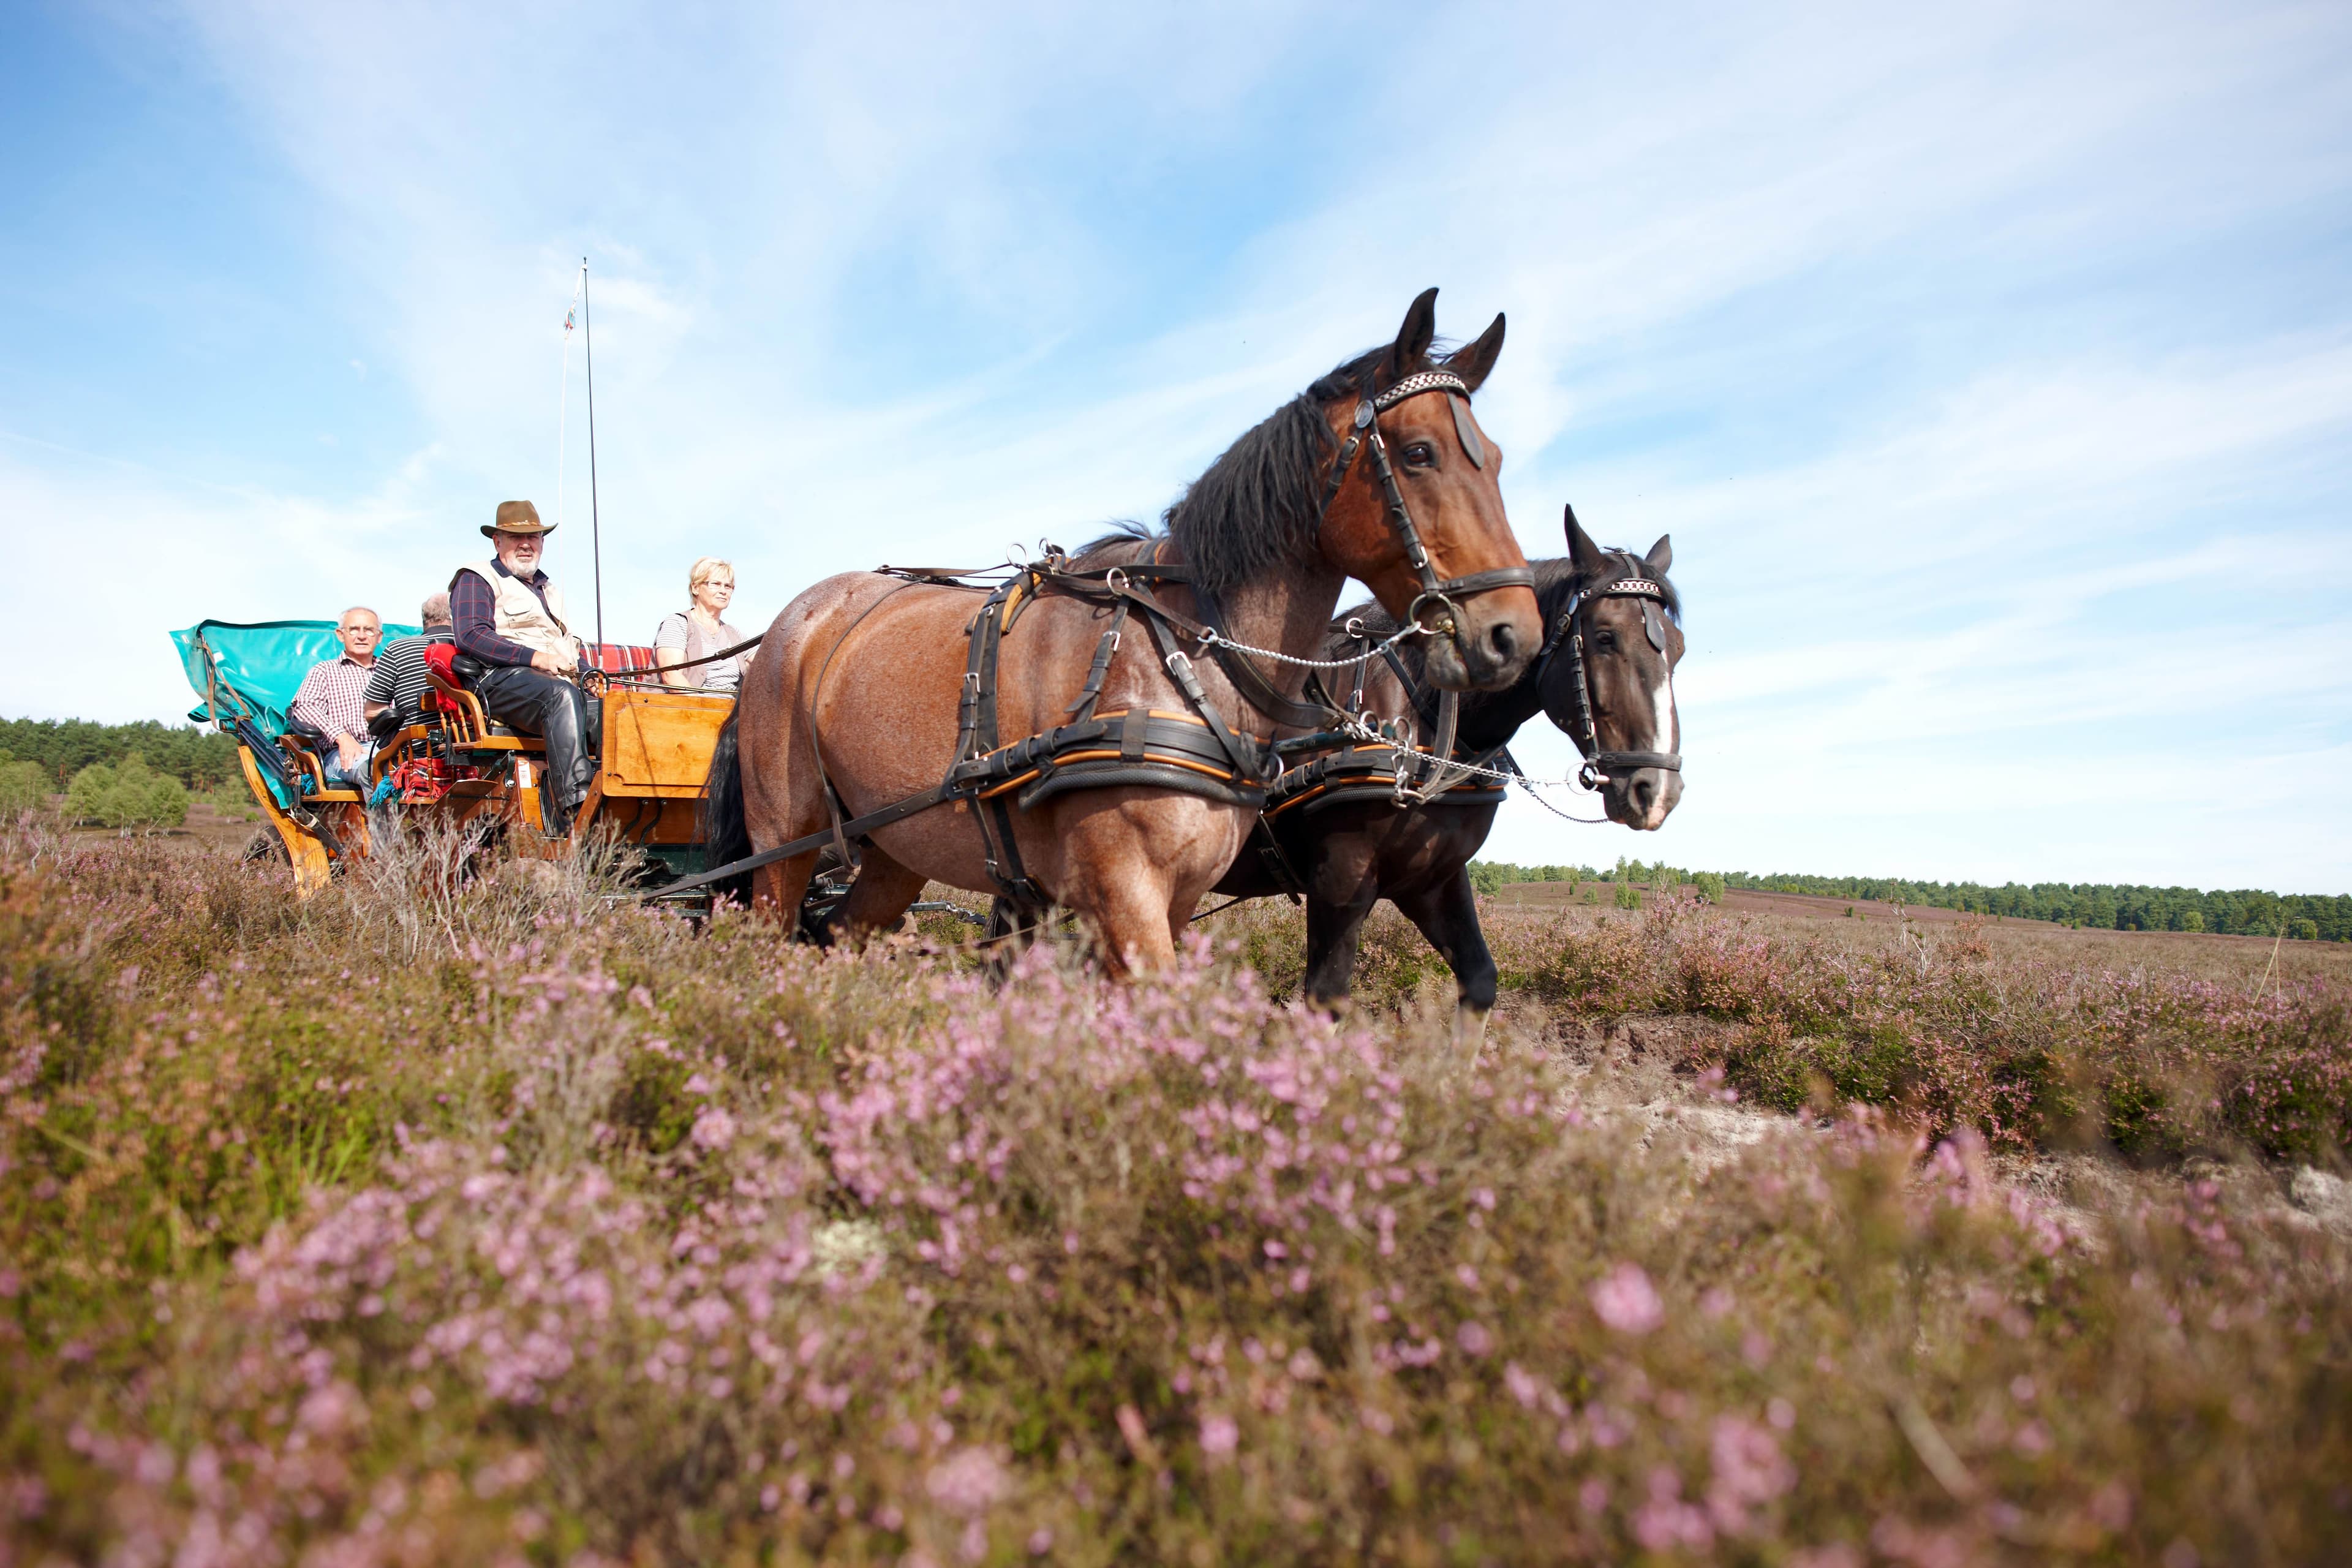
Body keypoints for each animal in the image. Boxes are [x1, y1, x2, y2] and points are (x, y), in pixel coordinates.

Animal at [696, 283, 1543, 968]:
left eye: (1499, 461)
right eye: (1420, 452)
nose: (1512, 634)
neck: (1184, 653)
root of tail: (792, 626)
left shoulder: (1175, 899)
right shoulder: (1124, 894)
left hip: (896, 847)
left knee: (837, 935)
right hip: (783, 841)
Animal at [1204, 510, 1684, 1034]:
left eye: (1678, 648)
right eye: (1604, 637)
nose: (1657, 790)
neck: (1425, 716)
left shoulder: (1434, 880)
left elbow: (1479, 981)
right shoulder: (1339, 879)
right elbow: (1325, 1001)